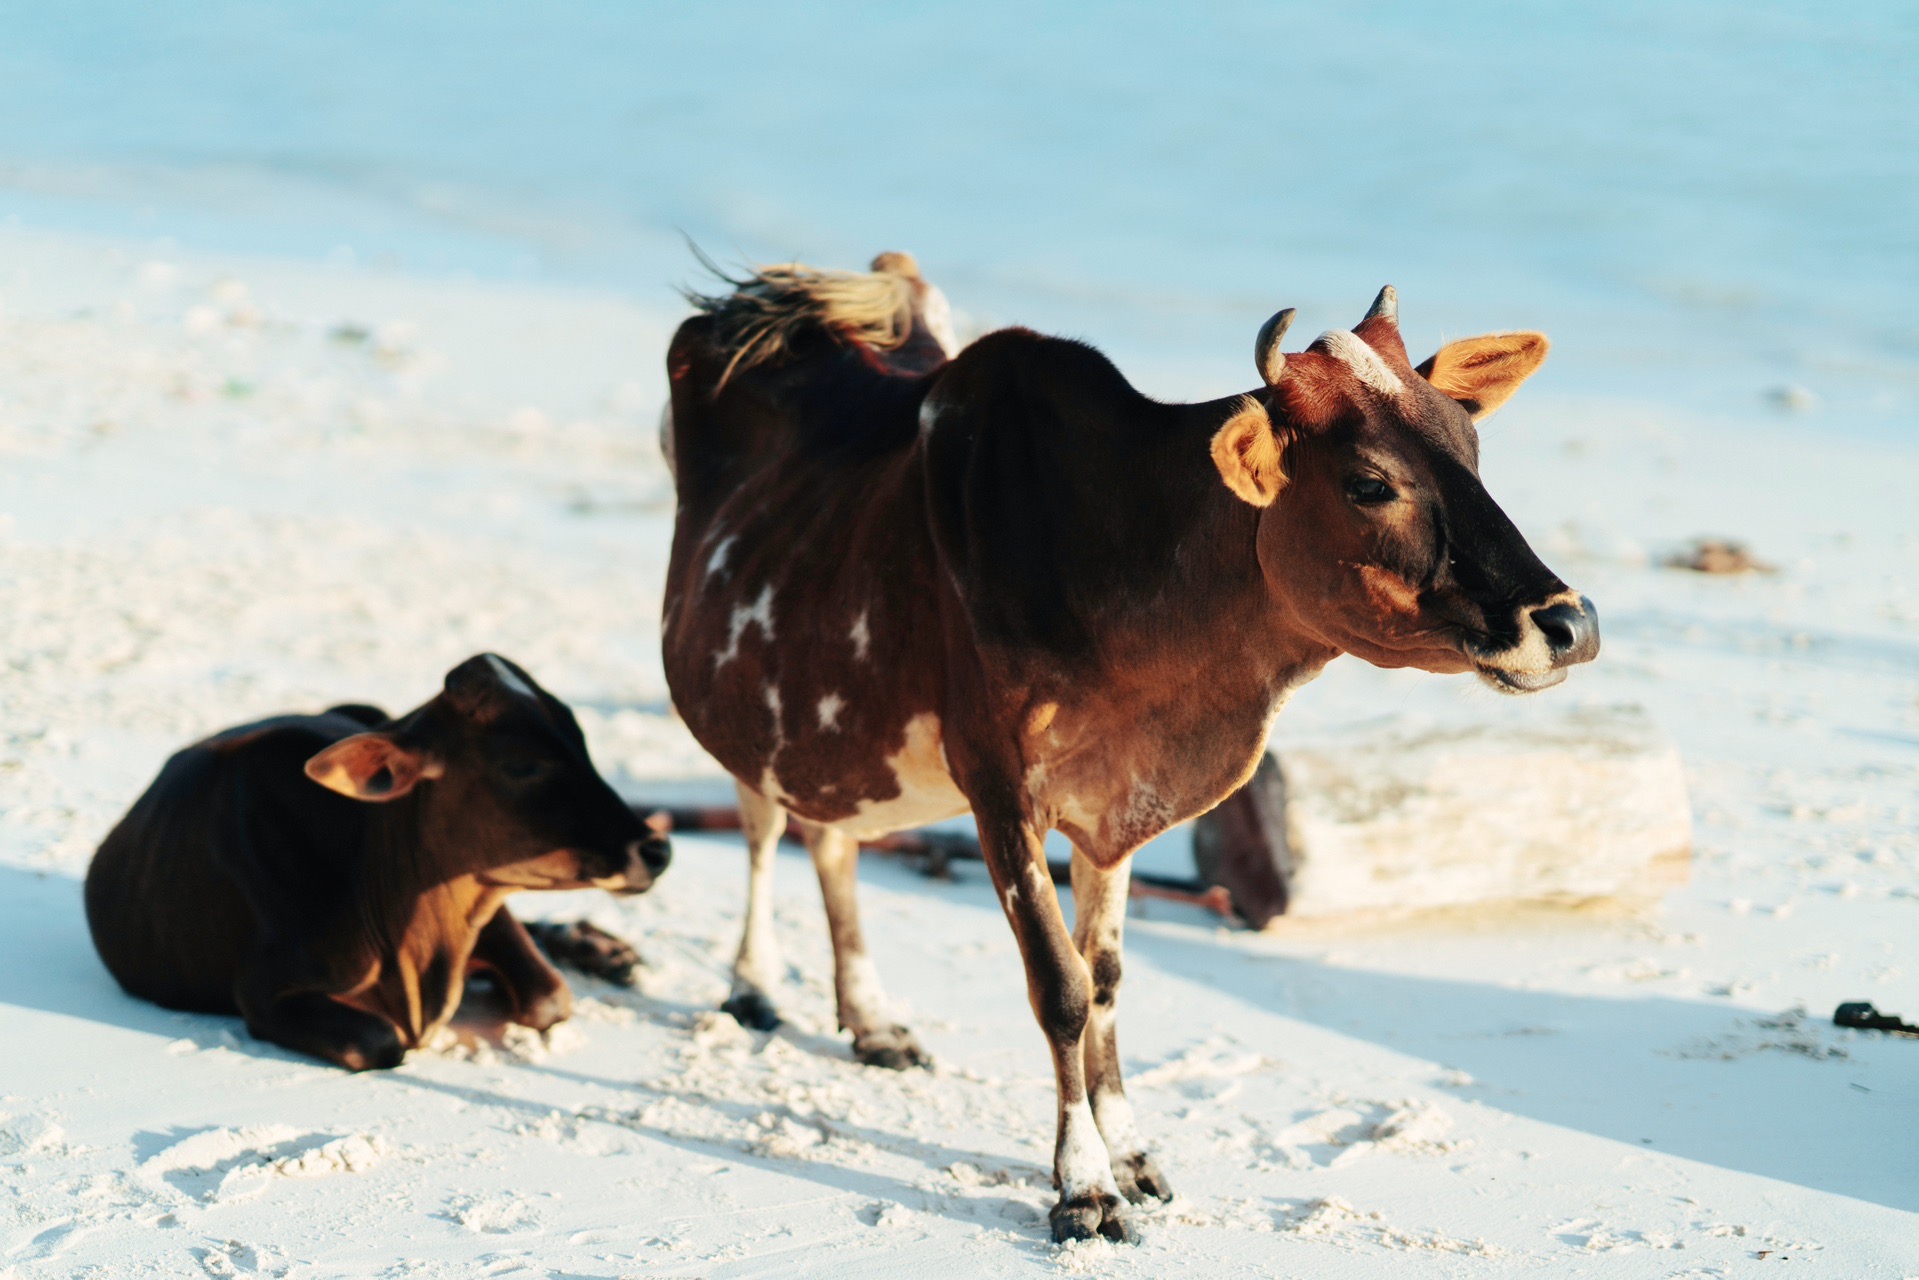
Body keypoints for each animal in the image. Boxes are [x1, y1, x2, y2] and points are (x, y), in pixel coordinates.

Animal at [86, 652, 671, 1074]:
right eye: (523, 765)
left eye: (581, 740)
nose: (657, 848)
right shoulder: (261, 991)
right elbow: (379, 1042)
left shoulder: (484, 900)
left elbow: (550, 996)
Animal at [660, 255, 1588, 1243]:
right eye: (1369, 483)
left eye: (1472, 446)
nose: (1569, 623)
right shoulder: (1000, 792)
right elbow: (1059, 989)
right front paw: (1083, 1184)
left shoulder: (1117, 806)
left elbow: (1102, 978)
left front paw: (1133, 1152)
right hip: (747, 707)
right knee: (765, 827)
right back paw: (752, 985)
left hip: (838, 729)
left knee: (832, 839)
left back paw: (871, 1019)